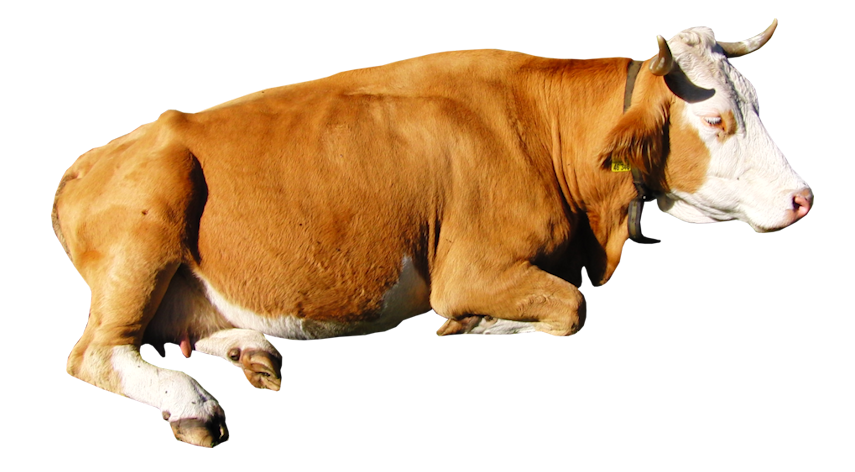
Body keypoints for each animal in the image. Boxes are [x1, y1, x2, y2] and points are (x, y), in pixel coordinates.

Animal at [51, 19, 811, 447]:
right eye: (715, 120)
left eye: (758, 103)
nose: (802, 198)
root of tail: (89, 158)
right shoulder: (469, 270)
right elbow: (573, 305)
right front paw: (475, 326)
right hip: (152, 214)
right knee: (96, 351)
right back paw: (193, 403)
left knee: (177, 329)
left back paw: (254, 353)